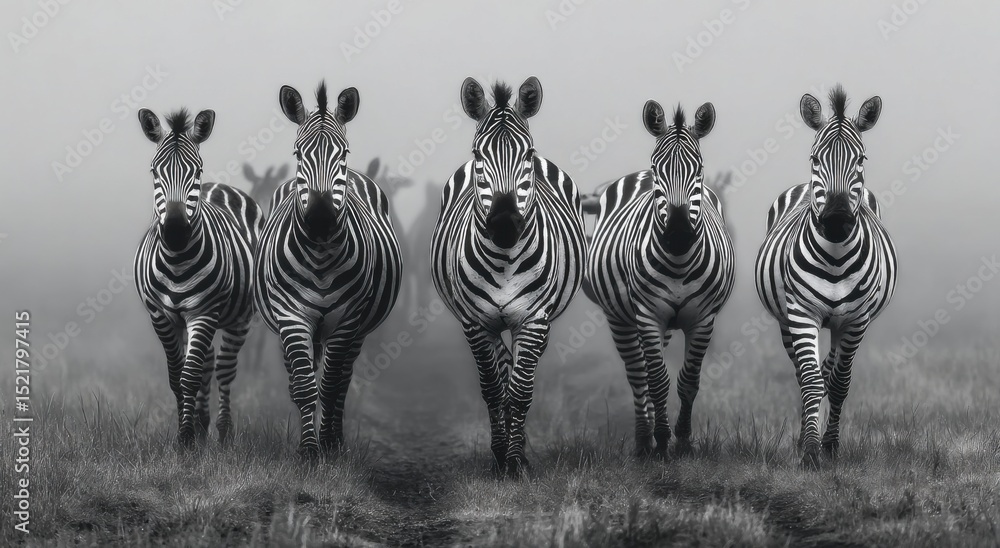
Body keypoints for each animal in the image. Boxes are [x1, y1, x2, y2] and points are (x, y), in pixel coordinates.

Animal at [134, 108, 263, 448]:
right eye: (154, 171)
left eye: (197, 170)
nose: (176, 232)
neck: (177, 262)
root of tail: (219, 186)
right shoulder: (161, 316)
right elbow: (177, 376)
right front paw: (189, 432)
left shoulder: (203, 312)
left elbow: (189, 376)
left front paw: (185, 441)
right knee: (207, 363)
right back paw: (203, 426)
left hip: (239, 318)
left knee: (223, 369)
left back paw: (223, 431)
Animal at [254, 82, 402, 458]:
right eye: (297, 154)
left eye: (344, 154)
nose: (320, 218)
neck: (320, 258)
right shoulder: (291, 316)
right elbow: (306, 386)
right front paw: (308, 449)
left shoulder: (346, 320)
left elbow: (331, 385)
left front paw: (327, 445)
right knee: (298, 379)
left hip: (358, 331)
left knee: (343, 381)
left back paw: (335, 439)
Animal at [430, 77, 587, 478]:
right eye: (478, 155)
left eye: (527, 155)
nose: (504, 226)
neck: (504, 261)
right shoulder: (474, 322)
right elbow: (492, 389)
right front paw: (500, 456)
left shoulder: (533, 320)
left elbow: (520, 392)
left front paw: (516, 461)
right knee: (502, 369)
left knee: (517, 372)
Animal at [584, 100, 734, 457]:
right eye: (657, 169)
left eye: (699, 169)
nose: (678, 234)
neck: (679, 261)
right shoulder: (648, 316)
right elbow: (657, 380)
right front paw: (663, 440)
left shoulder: (703, 320)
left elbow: (688, 381)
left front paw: (683, 440)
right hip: (621, 318)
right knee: (638, 375)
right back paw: (644, 440)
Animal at [754, 86, 896, 467]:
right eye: (815, 159)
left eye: (861, 159)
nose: (835, 219)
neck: (834, 258)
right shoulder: (802, 313)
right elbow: (811, 381)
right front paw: (810, 451)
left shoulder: (856, 320)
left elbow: (840, 382)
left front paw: (830, 445)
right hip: (787, 321)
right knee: (807, 373)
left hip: (840, 322)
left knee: (830, 369)